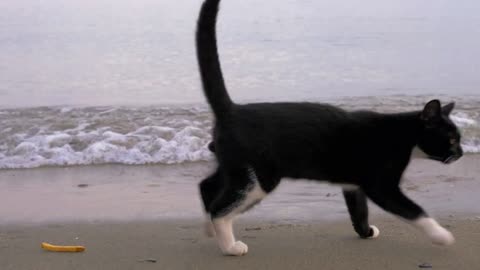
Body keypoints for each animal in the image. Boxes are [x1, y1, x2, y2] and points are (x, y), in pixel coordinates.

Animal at [194, 0, 462, 255]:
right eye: (451, 139)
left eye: (458, 140)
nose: (460, 153)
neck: (401, 135)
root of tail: (232, 109)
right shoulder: (381, 186)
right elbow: (415, 211)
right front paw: (441, 236)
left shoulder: (354, 184)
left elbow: (359, 212)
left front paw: (366, 232)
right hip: (259, 177)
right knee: (220, 207)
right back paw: (229, 246)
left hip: (236, 166)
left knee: (207, 186)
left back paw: (209, 230)